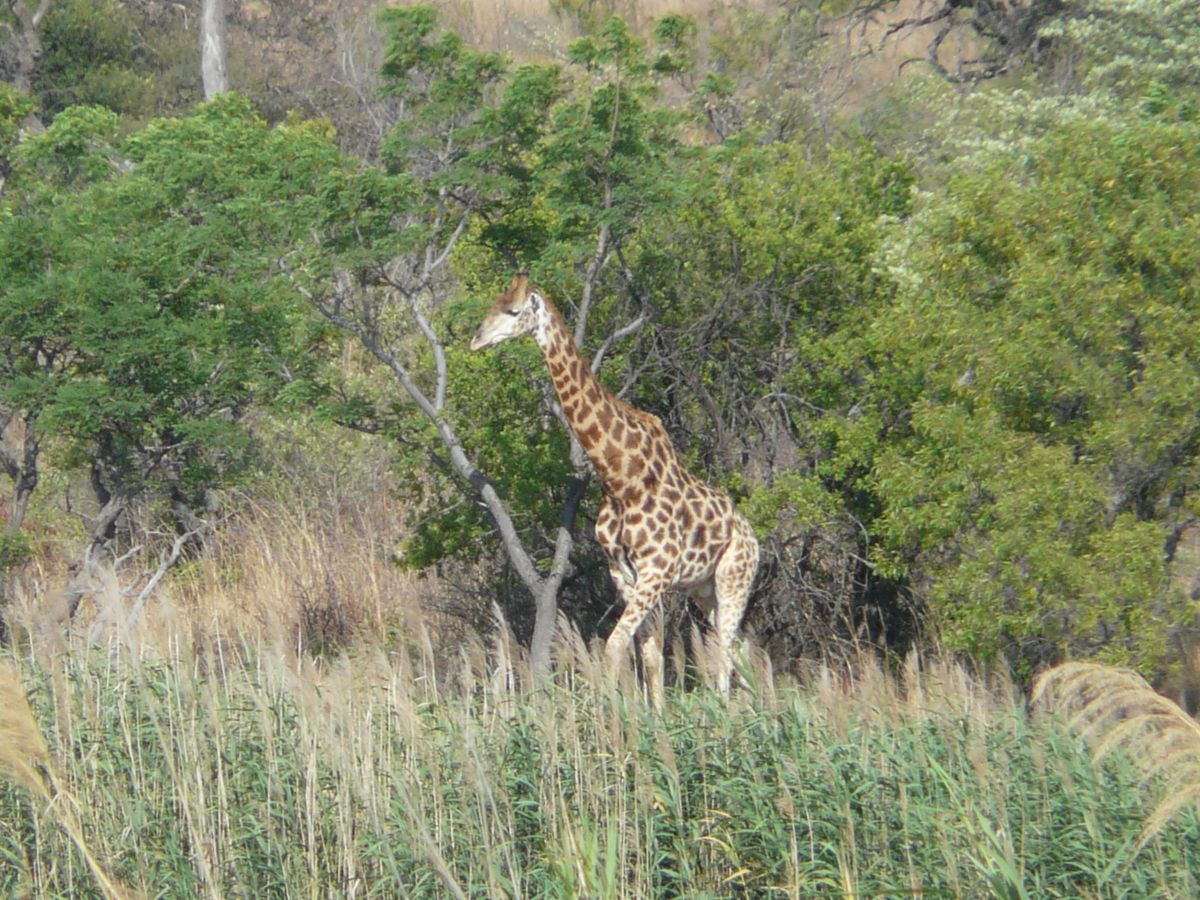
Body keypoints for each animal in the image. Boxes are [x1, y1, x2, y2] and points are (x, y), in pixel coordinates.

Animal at [470, 274, 759, 699]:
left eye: (513, 310)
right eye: (494, 304)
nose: (476, 339)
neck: (621, 478)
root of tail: (754, 539)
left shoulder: (655, 572)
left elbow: (614, 647)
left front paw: (613, 715)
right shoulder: (624, 574)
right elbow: (649, 653)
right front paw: (650, 714)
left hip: (733, 578)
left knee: (724, 650)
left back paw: (729, 710)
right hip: (704, 588)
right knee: (740, 648)